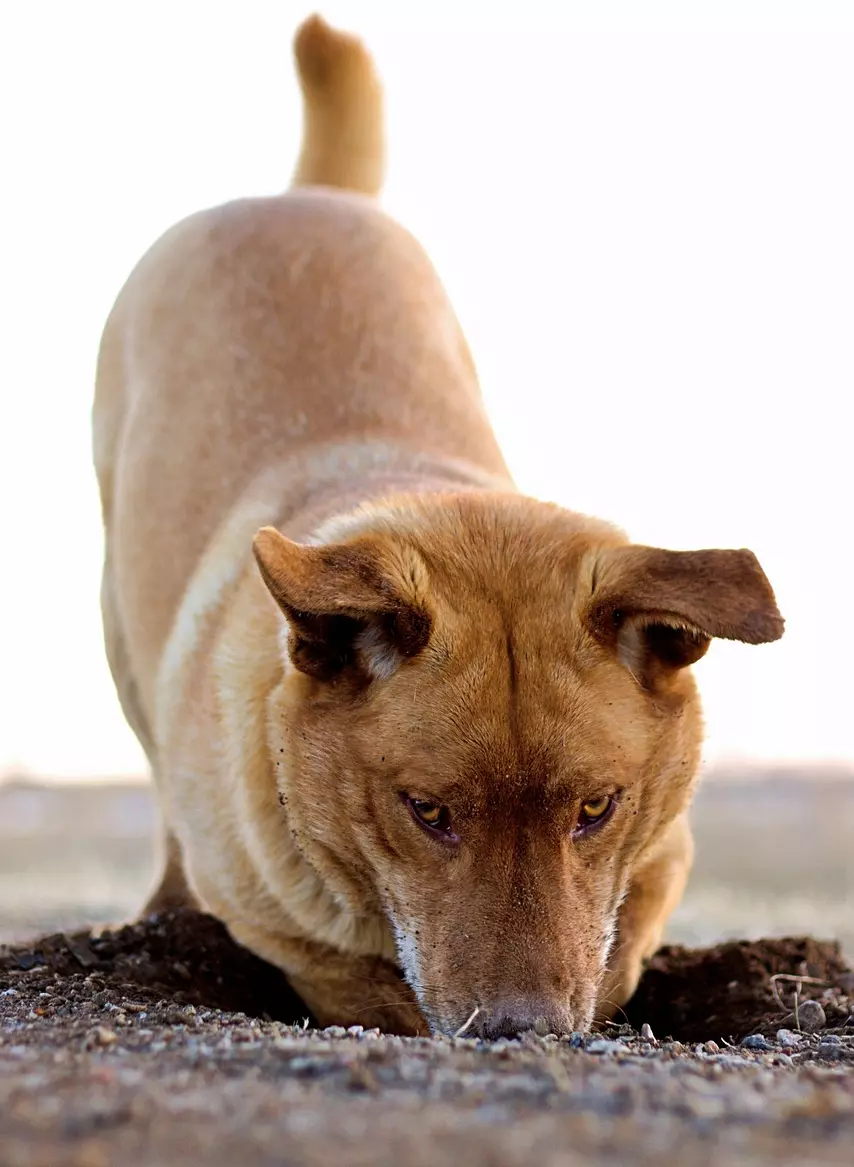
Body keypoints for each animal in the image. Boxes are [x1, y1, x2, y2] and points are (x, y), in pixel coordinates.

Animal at [91, 13, 779, 1040]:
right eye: (426, 809)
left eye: (597, 806)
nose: (522, 1029)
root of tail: (303, 195)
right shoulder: (291, 934)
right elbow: (365, 983)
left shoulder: (660, 850)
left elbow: (618, 945)